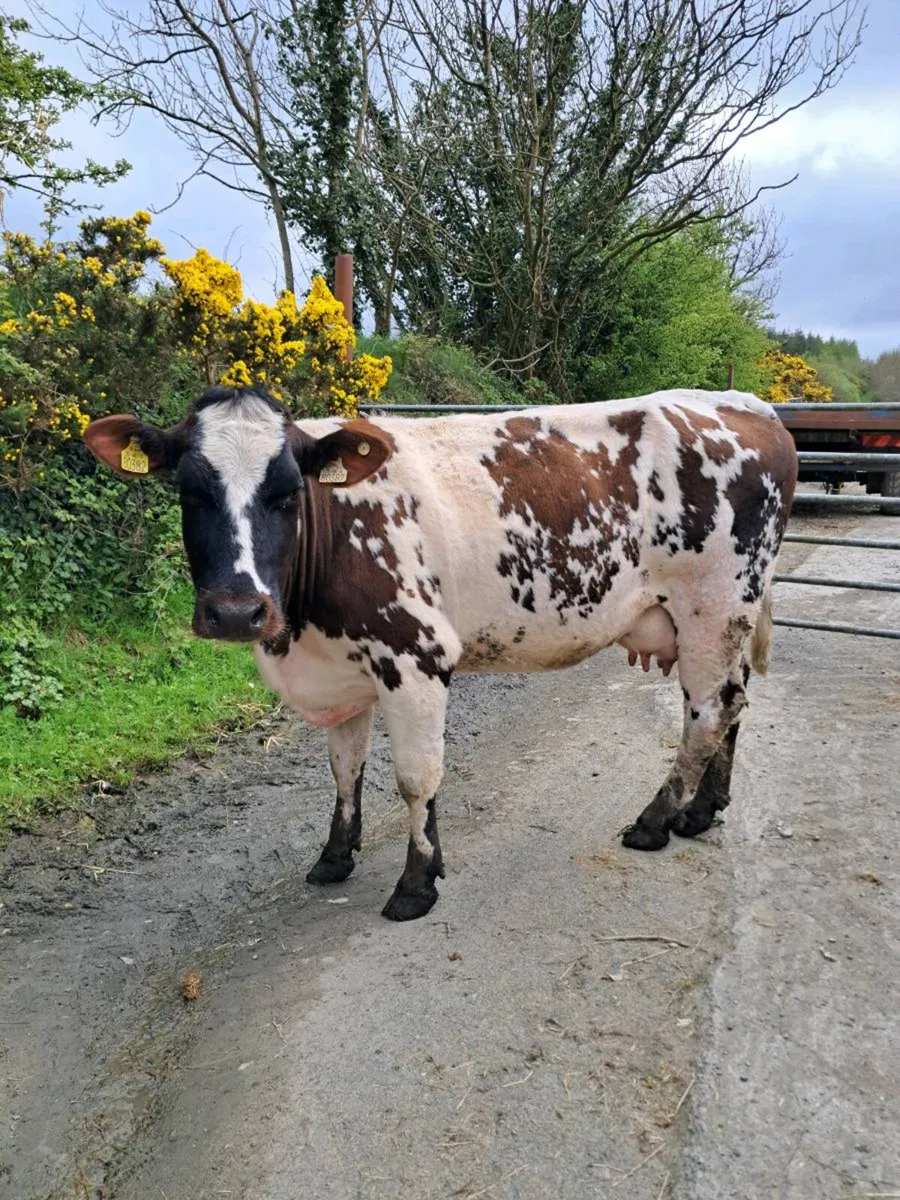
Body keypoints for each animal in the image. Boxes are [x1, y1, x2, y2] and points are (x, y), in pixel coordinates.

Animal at [83, 385, 797, 921]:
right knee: (732, 703)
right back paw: (700, 811)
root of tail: (745, 405)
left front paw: (417, 882)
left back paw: (655, 820)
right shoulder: (341, 672)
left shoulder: (416, 655)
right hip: (722, 619)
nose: (237, 610)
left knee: (708, 714)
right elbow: (345, 770)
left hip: (713, 607)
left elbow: (415, 776)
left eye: (287, 492)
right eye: (190, 489)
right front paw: (335, 857)